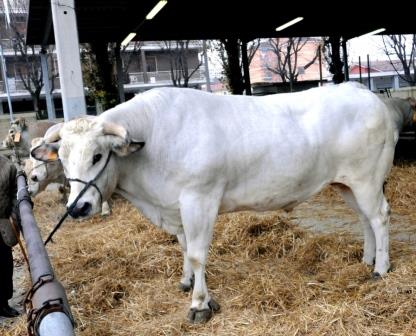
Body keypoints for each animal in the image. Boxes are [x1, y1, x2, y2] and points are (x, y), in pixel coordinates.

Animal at [33, 82, 400, 324]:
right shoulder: (176, 207)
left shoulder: (199, 199)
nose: (77, 208)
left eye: (98, 155)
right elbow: (183, 247)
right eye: (62, 159)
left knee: (380, 217)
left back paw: (380, 269)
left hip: (367, 178)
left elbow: (197, 253)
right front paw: (185, 283)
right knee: (365, 219)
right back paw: (366, 260)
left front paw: (199, 303)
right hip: (346, 183)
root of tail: (366, 94)